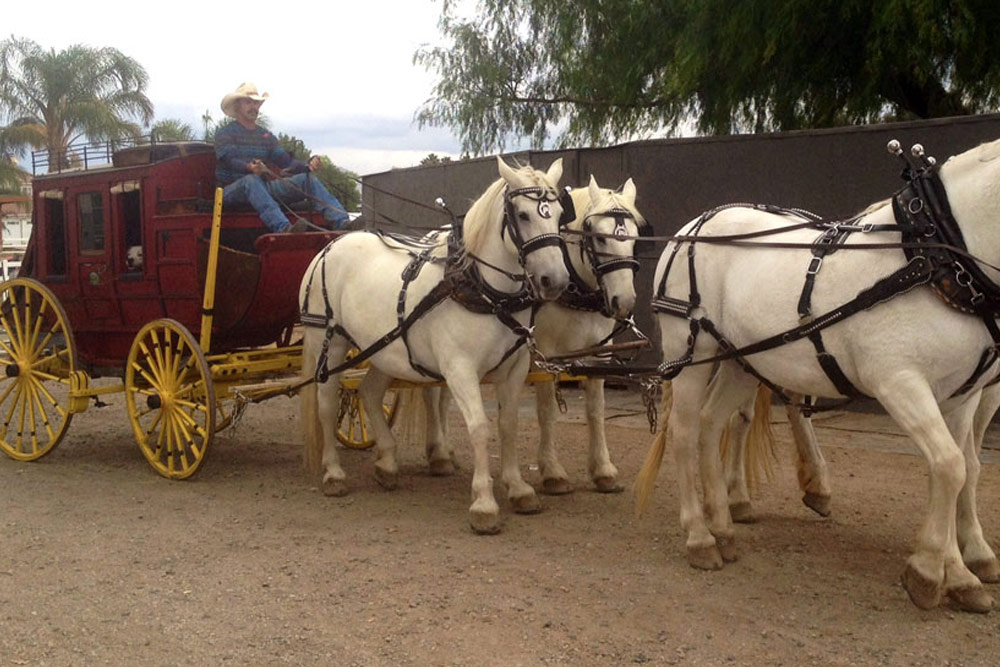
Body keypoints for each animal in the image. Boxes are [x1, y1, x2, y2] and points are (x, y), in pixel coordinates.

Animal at [298, 155, 572, 532]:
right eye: (523, 215)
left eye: (559, 214)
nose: (555, 281)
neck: (482, 288)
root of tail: (329, 246)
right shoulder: (460, 369)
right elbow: (479, 427)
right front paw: (484, 503)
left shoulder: (513, 368)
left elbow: (509, 424)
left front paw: (518, 488)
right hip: (330, 342)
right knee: (326, 404)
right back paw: (334, 473)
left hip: (384, 350)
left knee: (368, 393)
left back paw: (387, 464)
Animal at [422, 177, 648, 496]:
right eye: (599, 238)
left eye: (635, 237)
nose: (624, 301)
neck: (575, 290)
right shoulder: (546, 354)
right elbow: (547, 411)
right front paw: (553, 472)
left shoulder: (598, 353)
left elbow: (596, 410)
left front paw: (603, 470)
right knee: (431, 394)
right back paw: (439, 454)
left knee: (443, 396)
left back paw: (446, 453)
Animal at [636, 138, 1000, 612]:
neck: (934, 256)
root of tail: (693, 226)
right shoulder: (899, 382)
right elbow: (951, 466)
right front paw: (926, 572)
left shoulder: (963, 395)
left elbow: (960, 469)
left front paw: (959, 573)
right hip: (689, 350)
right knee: (684, 432)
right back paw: (700, 537)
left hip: (742, 360)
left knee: (712, 423)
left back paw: (724, 528)